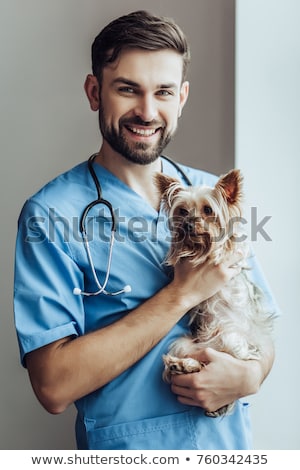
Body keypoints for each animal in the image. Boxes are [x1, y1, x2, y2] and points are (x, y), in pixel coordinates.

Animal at [155, 169, 274, 418]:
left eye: (208, 210)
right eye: (182, 211)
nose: (188, 225)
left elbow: (224, 248)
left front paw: (214, 251)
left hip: (232, 338)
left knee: (229, 357)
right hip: (184, 344)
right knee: (195, 362)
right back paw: (182, 366)